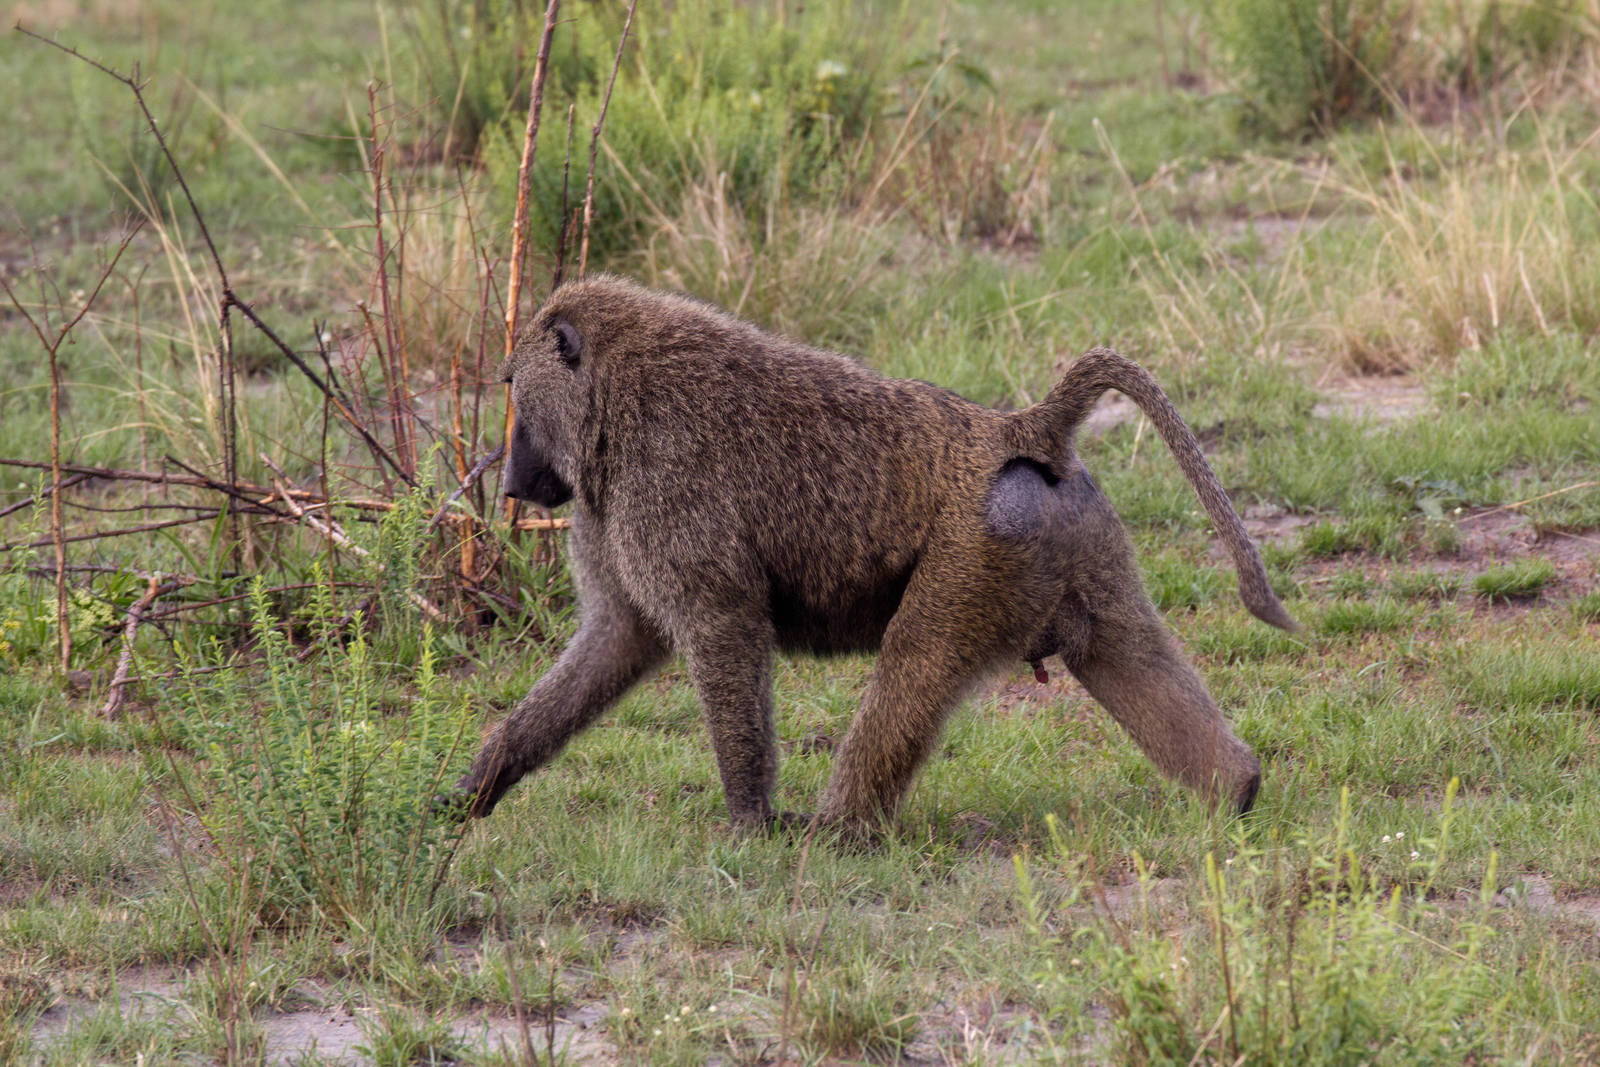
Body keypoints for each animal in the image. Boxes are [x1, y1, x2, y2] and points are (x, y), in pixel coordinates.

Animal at [451, 274, 1296, 834]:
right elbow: (614, 640)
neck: (620, 400)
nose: (511, 480)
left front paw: (749, 820)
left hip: (978, 553)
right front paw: (476, 786)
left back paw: (835, 831)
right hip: (1071, 531)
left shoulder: (667, 499)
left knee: (915, 663)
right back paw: (1236, 790)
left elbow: (723, 632)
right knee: (1123, 651)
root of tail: (1011, 429)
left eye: (512, 389)